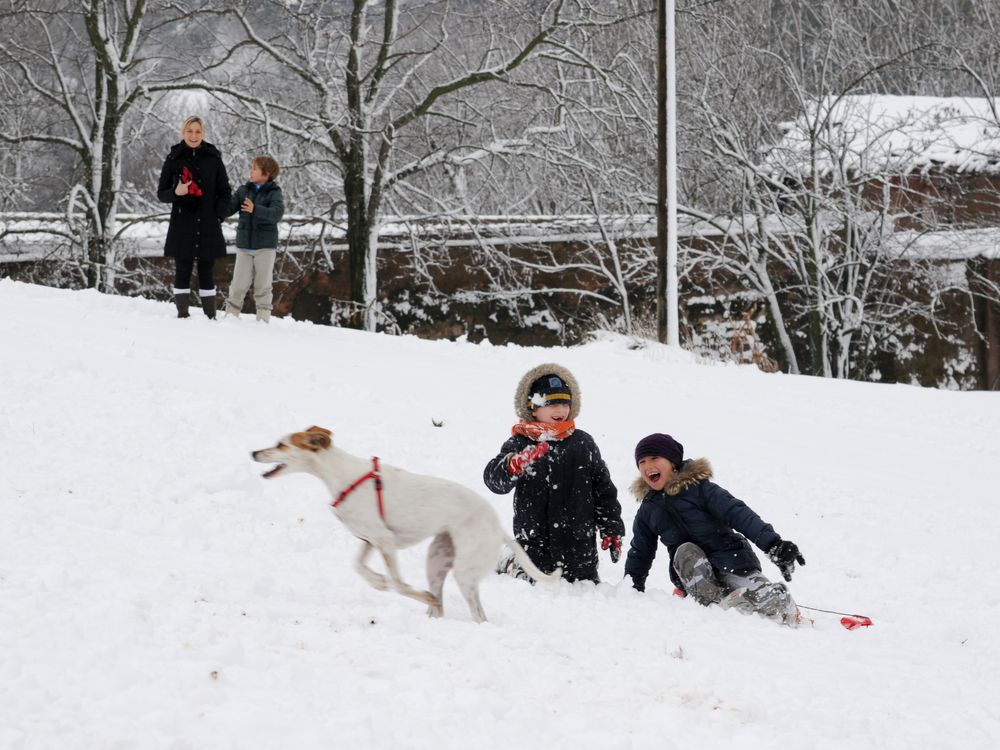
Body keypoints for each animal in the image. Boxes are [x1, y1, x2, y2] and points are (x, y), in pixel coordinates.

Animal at [249, 426, 560, 624]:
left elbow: (399, 585)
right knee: (443, 605)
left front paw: (399, 588)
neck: (341, 475)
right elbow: (358, 567)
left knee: (477, 614)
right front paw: (377, 581)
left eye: (281, 445)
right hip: (437, 560)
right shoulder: (370, 540)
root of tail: (497, 525)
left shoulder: (384, 541)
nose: (253, 453)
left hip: (464, 570)